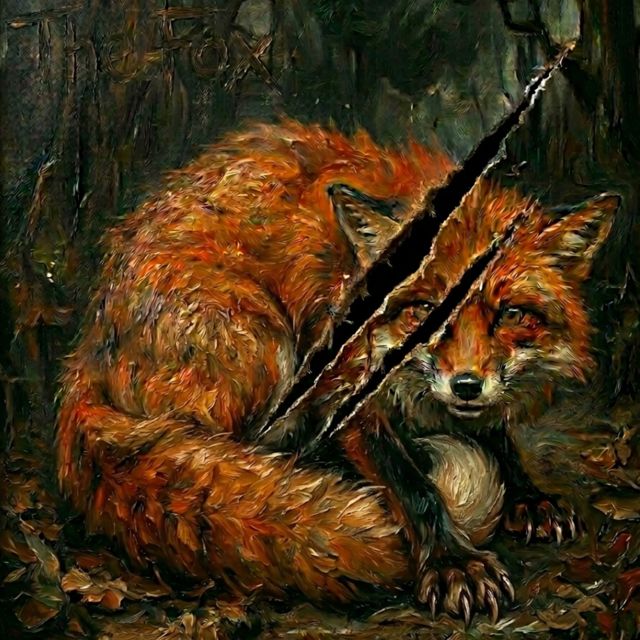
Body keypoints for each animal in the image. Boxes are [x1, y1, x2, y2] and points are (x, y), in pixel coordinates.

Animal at [57, 120, 618, 623]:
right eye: (425, 309)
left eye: (511, 315)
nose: (465, 385)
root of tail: (86, 348)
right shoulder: (341, 388)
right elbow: (413, 484)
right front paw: (452, 560)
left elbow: (500, 437)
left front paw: (530, 496)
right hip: (264, 342)